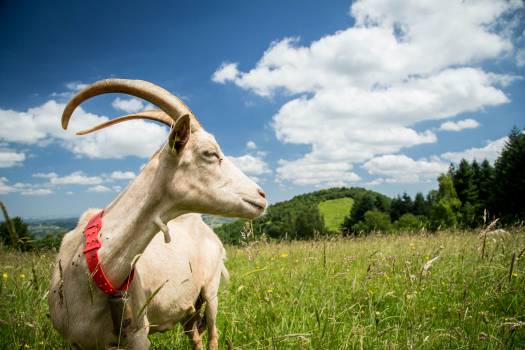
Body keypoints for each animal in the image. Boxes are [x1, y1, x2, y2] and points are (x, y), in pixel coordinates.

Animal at [47, 79, 266, 350]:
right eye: (209, 153)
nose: (261, 195)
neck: (94, 266)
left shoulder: (138, 335)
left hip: (210, 291)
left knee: (213, 334)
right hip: (188, 308)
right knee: (196, 336)